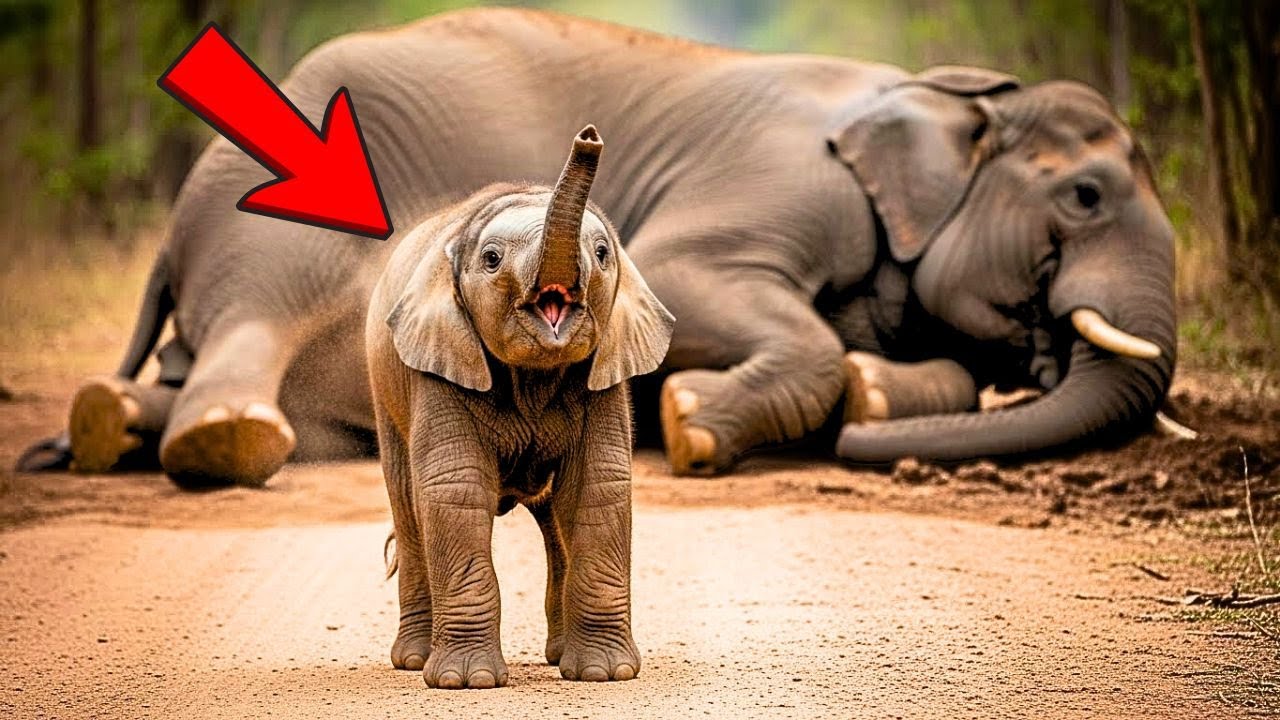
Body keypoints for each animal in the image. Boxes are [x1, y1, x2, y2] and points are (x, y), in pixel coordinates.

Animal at [17, 7, 1176, 483]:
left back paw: (109, 423)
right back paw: (223, 442)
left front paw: (868, 397)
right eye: (1083, 196)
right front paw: (694, 423)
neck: (953, 96)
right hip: (277, 214)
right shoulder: (779, 180)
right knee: (257, 324)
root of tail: (176, 229)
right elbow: (692, 283)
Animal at [368, 126, 670, 688]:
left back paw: (559, 658)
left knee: (555, 521)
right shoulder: (439, 362)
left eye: (602, 253)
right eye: (491, 259)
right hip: (385, 393)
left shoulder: (605, 370)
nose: (589, 138)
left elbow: (598, 484)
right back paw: (415, 661)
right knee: (409, 507)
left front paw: (605, 675)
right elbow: (456, 489)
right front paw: (467, 683)